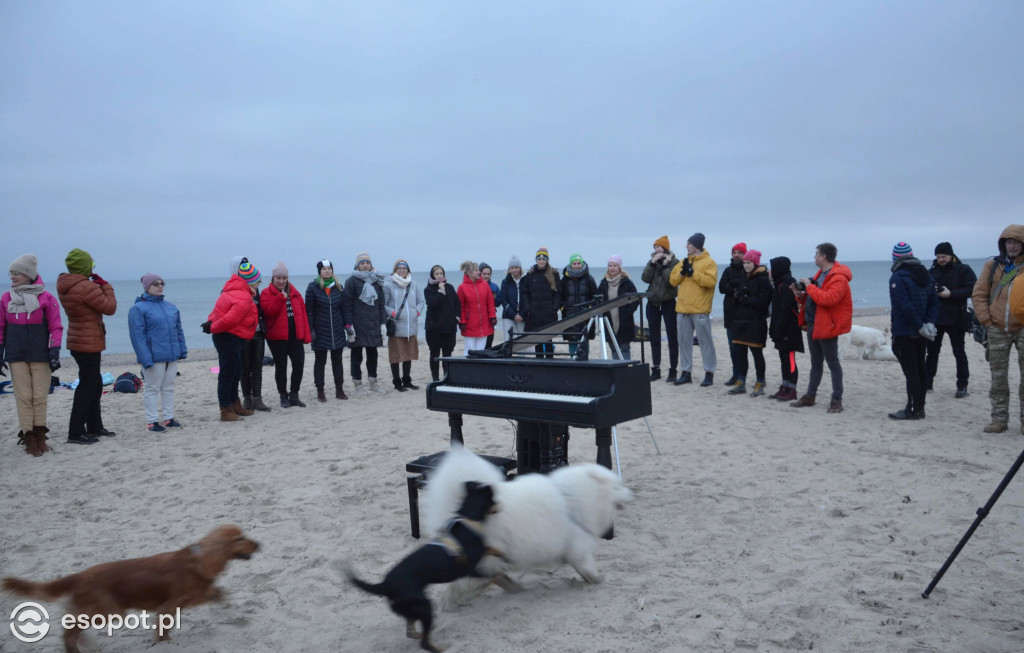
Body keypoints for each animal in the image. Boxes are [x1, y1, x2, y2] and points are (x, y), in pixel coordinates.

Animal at [3, 528, 260, 653]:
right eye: (239, 538)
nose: (259, 544)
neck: (200, 560)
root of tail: (81, 575)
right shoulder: (170, 605)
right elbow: (168, 624)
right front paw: (164, 644)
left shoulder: (173, 606)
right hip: (111, 611)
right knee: (71, 626)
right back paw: (76, 648)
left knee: (71, 620)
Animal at [348, 481, 499, 653]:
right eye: (494, 500)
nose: (499, 507)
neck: (469, 517)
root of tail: (385, 585)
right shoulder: (470, 569)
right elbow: (491, 573)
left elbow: (492, 549)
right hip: (424, 606)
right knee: (424, 643)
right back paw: (440, 648)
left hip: (413, 608)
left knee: (411, 630)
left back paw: (418, 634)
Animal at [421, 448, 630, 610]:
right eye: (618, 487)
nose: (631, 494)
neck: (573, 498)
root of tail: (461, 508)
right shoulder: (579, 550)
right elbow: (591, 573)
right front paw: (603, 581)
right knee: (459, 587)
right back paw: (449, 607)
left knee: (493, 578)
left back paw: (516, 589)